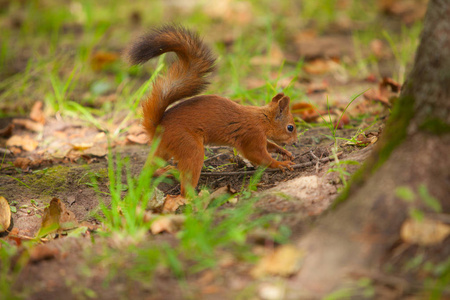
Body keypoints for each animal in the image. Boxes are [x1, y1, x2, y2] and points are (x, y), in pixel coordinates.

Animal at [126, 25, 298, 197]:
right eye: (290, 127)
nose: (295, 142)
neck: (262, 119)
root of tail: (158, 127)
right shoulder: (252, 135)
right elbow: (257, 155)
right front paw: (280, 163)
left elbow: (270, 146)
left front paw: (283, 151)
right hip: (189, 146)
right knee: (184, 186)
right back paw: (192, 197)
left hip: (164, 148)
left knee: (148, 169)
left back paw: (163, 172)